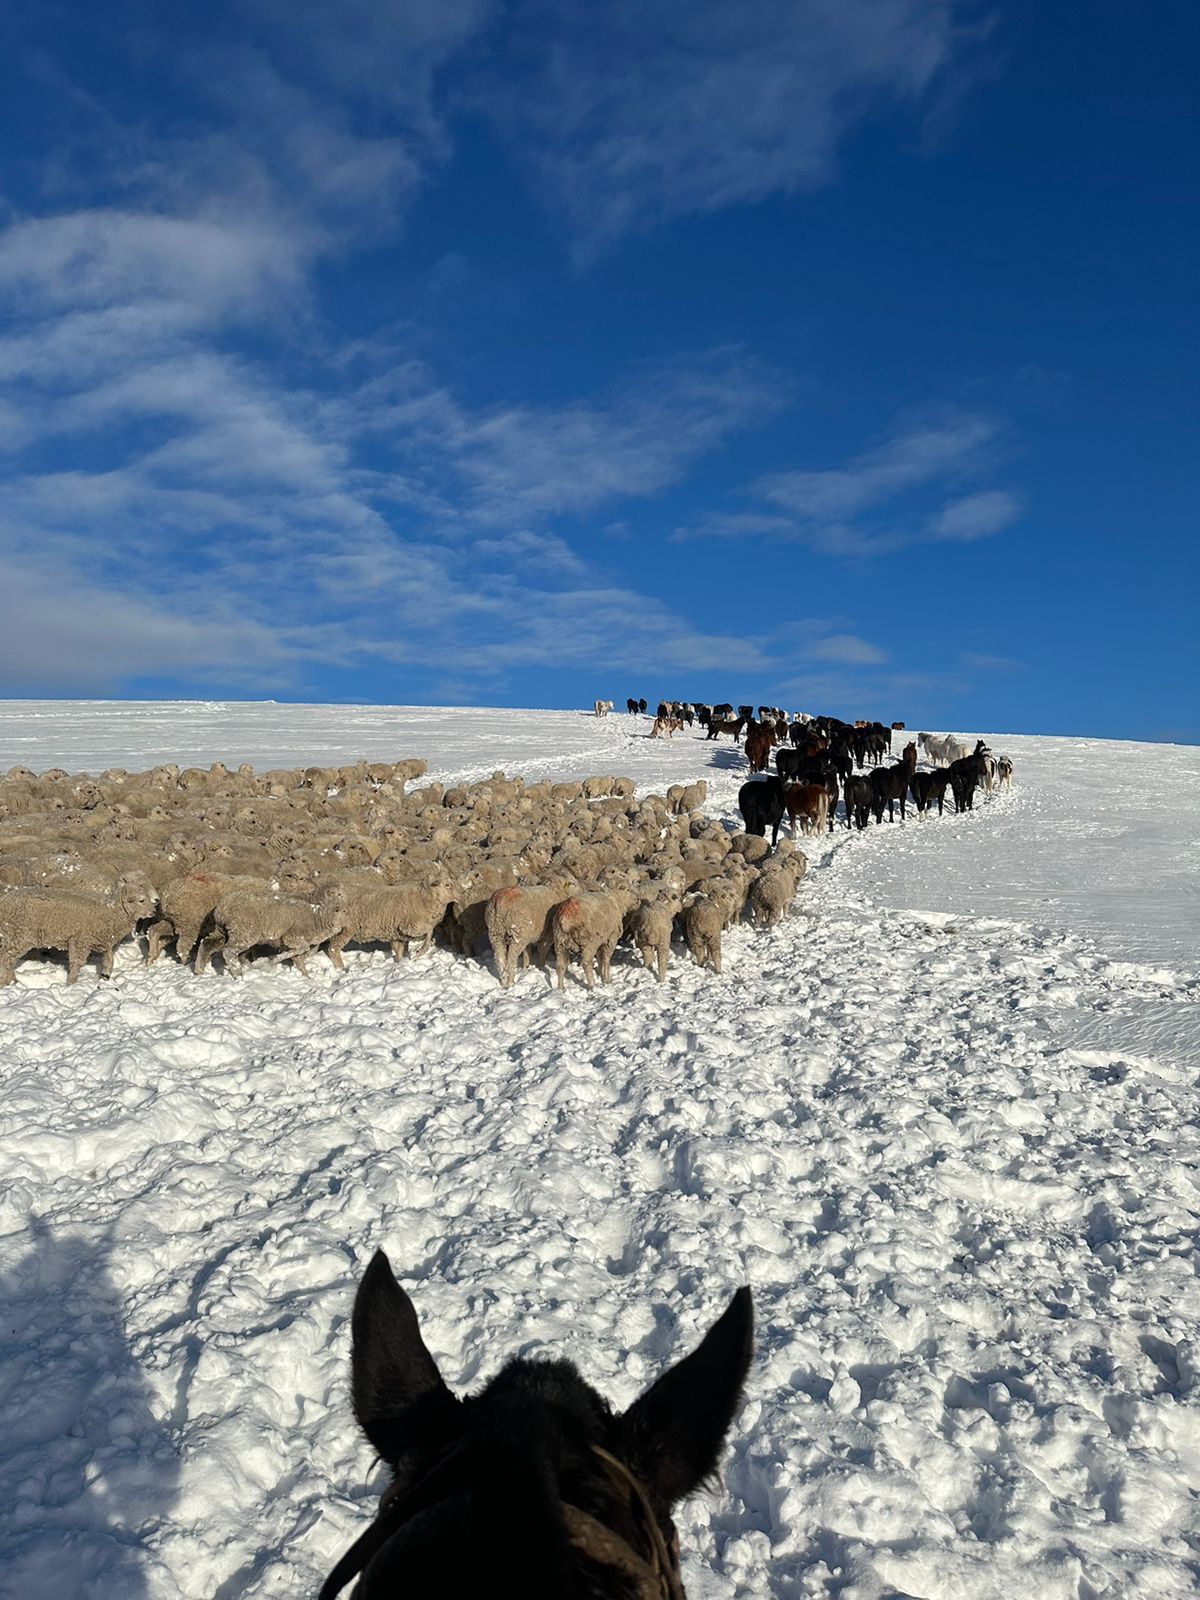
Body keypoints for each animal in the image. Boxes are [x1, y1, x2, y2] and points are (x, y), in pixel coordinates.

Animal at [0, 876, 158, 986]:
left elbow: (109, 960)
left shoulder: (105, 940)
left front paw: (105, 976)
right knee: (6, 956)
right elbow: (77, 963)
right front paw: (71, 983)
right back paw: (9, 981)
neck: (111, 911)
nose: (153, 912)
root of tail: (6, 899)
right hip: (20, 935)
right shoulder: (80, 941)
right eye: (141, 900)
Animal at [195, 883, 347, 977]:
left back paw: (198, 970)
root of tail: (222, 908)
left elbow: (299, 958)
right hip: (244, 931)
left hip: (223, 931)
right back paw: (238, 974)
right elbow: (301, 950)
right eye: (340, 910)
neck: (317, 917)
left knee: (206, 944)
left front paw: (305, 976)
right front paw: (275, 959)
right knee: (228, 952)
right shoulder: (292, 937)